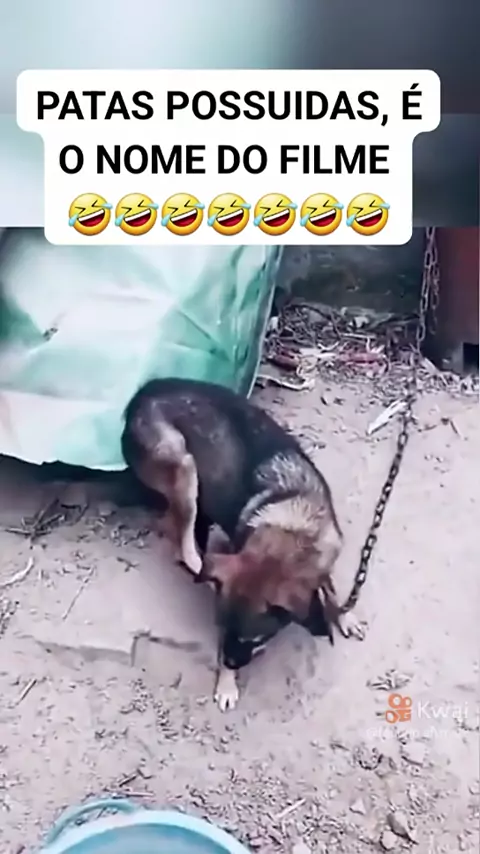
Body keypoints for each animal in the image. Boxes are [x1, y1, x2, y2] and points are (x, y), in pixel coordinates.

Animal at [121, 377, 364, 711]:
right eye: (221, 627)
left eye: (255, 640)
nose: (227, 663)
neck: (292, 525)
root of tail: (141, 394)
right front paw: (226, 684)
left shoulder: (323, 556)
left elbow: (329, 586)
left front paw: (343, 614)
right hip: (184, 467)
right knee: (182, 540)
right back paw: (200, 565)